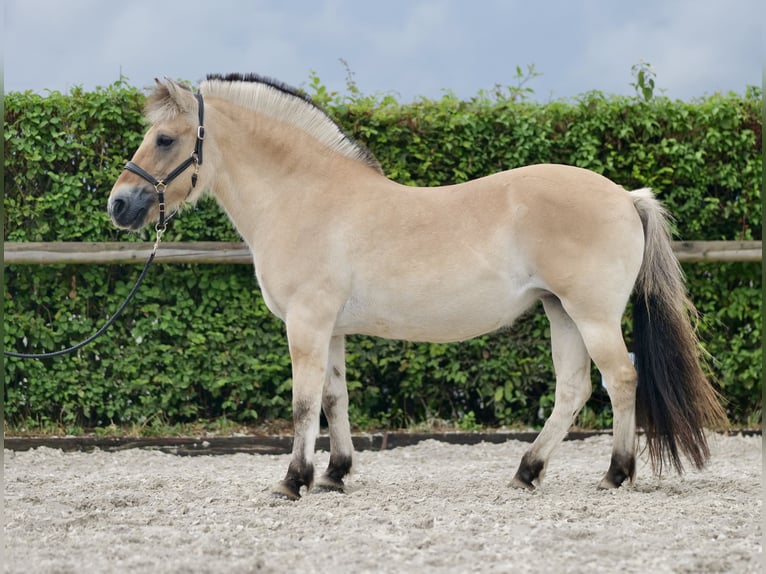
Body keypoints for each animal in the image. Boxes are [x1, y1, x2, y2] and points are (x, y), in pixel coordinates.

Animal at [106, 75, 728, 500]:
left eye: (165, 139)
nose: (118, 205)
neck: (304, 196)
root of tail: (625, 196)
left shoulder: (306, 323)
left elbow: (304, 402)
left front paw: (293, 480)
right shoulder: (331, 329)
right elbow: (334, 399)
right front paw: (335, 474)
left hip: (591, 314)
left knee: (620, 379)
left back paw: (616, 473)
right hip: (560, 311)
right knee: (573, 389)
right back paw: (526, 472)